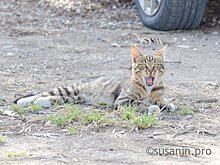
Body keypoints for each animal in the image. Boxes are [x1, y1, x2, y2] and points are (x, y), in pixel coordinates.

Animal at [14, 42, 175, 113]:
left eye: (156, 66)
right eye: (143, 66)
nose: (150, 72)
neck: (148, 89)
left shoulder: (158, 95)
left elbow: (163, 101)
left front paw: (166, 104)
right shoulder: (122, 100)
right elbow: (139, 102)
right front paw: (152, 107)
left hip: (74, 98)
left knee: (52, 98)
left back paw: (42, 102)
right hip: (69, 89)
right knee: (41, 93)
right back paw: (23, 101)